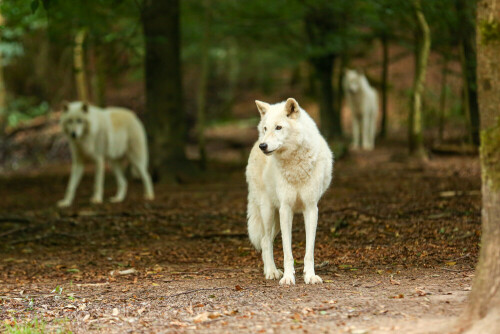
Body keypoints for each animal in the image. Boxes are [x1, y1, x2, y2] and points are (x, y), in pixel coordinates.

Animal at [245, 98, 332, 286]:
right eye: (266, 128)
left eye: (278, 127)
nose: (263, 146)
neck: (295, 164)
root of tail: (255, 143)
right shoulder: (286, 209)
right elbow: (287, 252)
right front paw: (288, 277)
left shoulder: (311, 208)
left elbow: (309, 251)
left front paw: (310, 276)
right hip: (268, 211)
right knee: (265, 241)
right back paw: (271, 271)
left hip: (275, 218)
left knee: (266, 240)